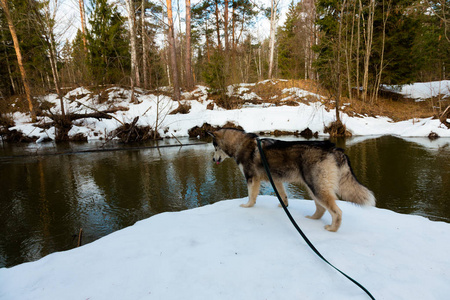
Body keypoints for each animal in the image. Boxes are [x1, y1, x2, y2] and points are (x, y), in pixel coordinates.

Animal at [209, 128, 374, 232]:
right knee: (321, 208)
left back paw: (333, 228)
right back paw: (313, 218)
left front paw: (247, 206)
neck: (240, 144)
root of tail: (335, 148)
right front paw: (284, 206)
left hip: (316, 187)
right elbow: (283, 195)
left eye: (215, 148)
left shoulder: (252, 178)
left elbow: (251, 196)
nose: (212, 160)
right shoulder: (275, 179)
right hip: (313, 188)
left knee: (337, 211)